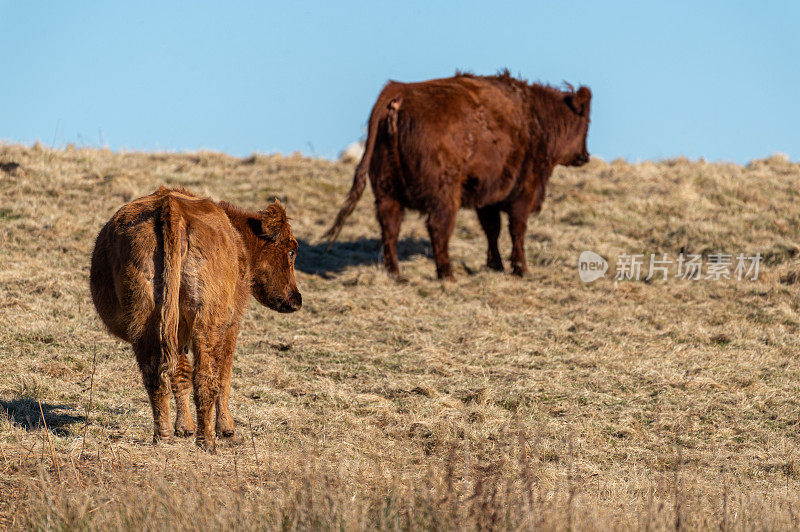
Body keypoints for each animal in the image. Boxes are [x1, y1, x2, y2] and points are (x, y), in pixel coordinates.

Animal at [90, 187, 302, 454]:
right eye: (291, 251)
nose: (297, 300)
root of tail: (170, 206)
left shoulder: (178, 331)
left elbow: (180, 374)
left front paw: (184, 427)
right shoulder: (231, 324)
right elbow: (223, 376)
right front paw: (227, 430)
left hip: (145, 322)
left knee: (155, 375)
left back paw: (165, 437)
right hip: (207, 323)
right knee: (205, 378)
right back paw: (207, 441)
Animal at [324, 71, 592, 280]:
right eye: (584, 123)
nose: (585, 155)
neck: (536, 118)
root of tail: (399, 91)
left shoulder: (488, 196)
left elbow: (492, 230)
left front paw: (495, 265)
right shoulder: (523, 191)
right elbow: (516, 230)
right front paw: (520, 269)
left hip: (387, 192)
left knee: (390, 228)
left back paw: (397, 274)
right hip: (443, 194)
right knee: (438, 227)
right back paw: (447, 274)